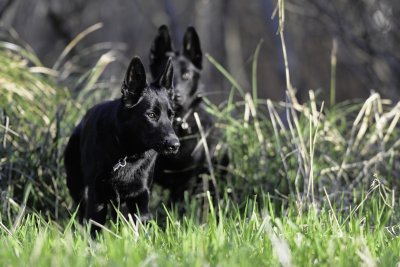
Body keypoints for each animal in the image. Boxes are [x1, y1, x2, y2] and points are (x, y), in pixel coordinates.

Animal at [64, 57, 180, 230]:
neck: (126, 153)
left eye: (171, 115)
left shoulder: (140, 197)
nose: (175, 145)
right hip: (77, 187)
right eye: (151, 115)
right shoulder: (97, 197)